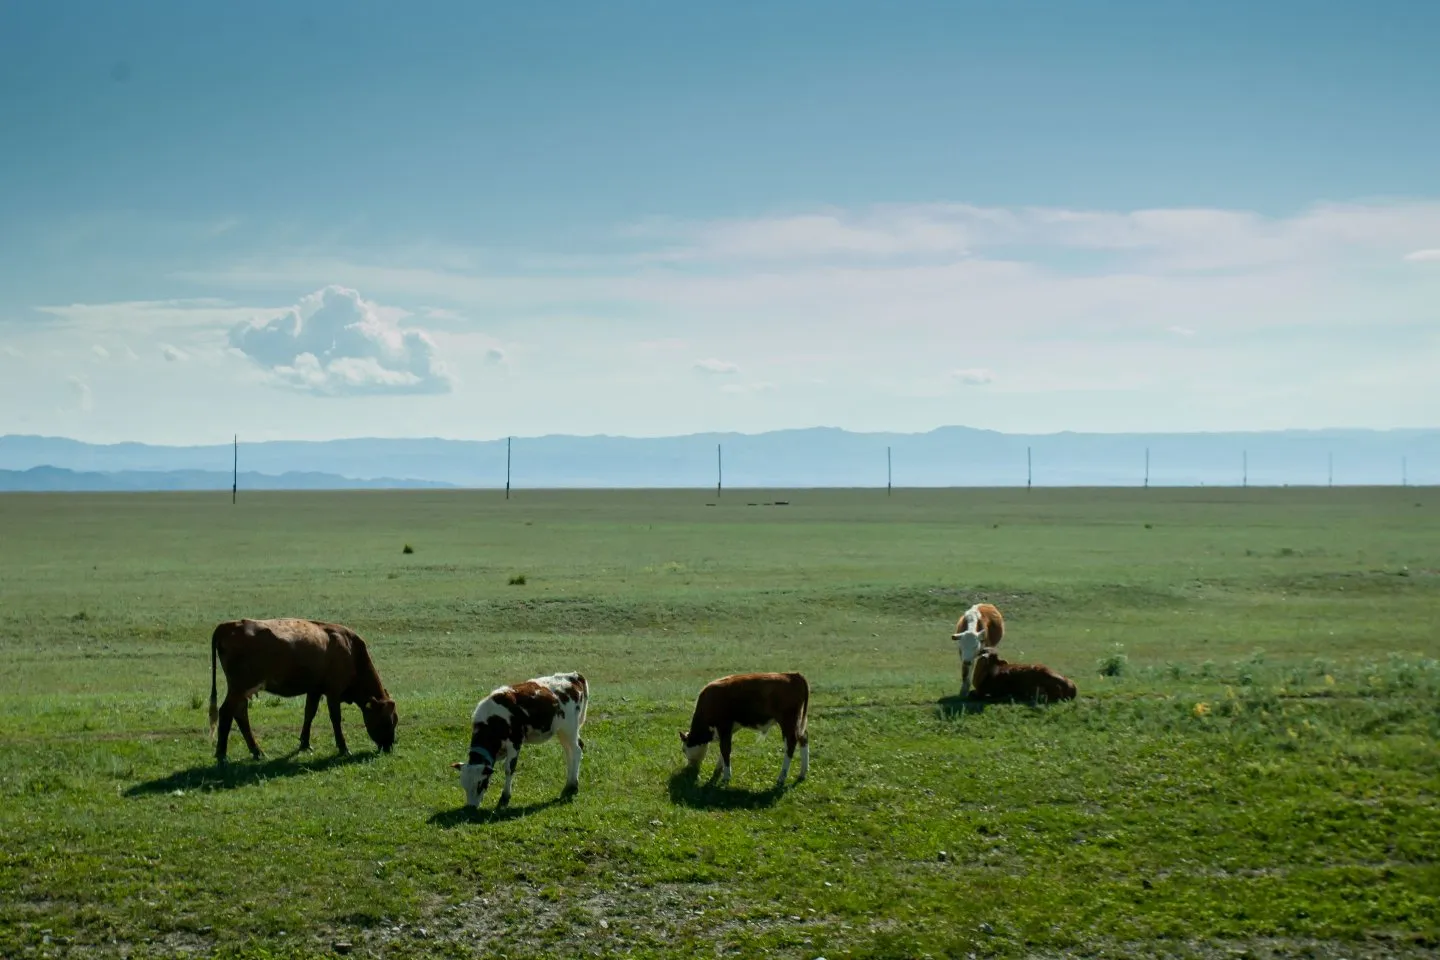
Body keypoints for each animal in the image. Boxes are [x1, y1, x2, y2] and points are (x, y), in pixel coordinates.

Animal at [208, 616, 400, 765]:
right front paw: (343, 748)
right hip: (239, 687)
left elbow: (309, 714)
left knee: (240, 714)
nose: (389, 746)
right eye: (388, 720)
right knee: (226, 712)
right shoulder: (333, 692)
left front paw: (304, 744)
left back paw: (257, 752)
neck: (351, 650)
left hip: (242, 690)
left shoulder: (314, 690)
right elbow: (335, 719)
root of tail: (228, 625)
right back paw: (222, 755)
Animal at [449, 676, 584, 811]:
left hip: (570, 728)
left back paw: (573, 786)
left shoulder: (515, 742)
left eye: (480, 784)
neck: (493, 720)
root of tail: (573, 676)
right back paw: (569, 784)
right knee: (569, 754)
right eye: (464, 785)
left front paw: (504, 798)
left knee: (577, 751)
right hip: (562, 732)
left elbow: (509, 769)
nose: (470, 807)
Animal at [676, 673, 812, 794]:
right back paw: (802, 773)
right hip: (799, 723)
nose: (689, 767)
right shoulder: (729, 730)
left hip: (788, 722)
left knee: (791, 745)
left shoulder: (724, 726)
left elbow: (725, 750)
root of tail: (793, 675)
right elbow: (723, 750)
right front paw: (719, 768)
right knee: (804, 739)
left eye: (683, 749)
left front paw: (726, 776)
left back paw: (782, 777)